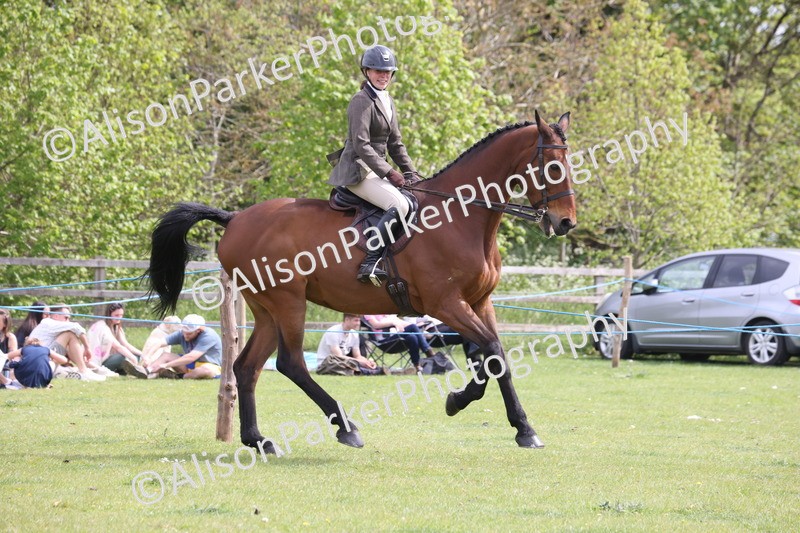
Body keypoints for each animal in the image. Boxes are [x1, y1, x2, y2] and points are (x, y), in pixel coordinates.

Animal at [146, 110, 577, 451]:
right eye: (552, 167)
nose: (566, 223)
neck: (461, 217)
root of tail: (234, 218)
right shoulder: (445, 304)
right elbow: (491, 351)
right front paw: (461, 401)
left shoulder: (479, 302)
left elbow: (494, 357)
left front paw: (521, 428)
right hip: (288, 302)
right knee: (290, 363)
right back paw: (345, 427)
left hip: (265, 307)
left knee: (248, 367)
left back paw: (259, 440)